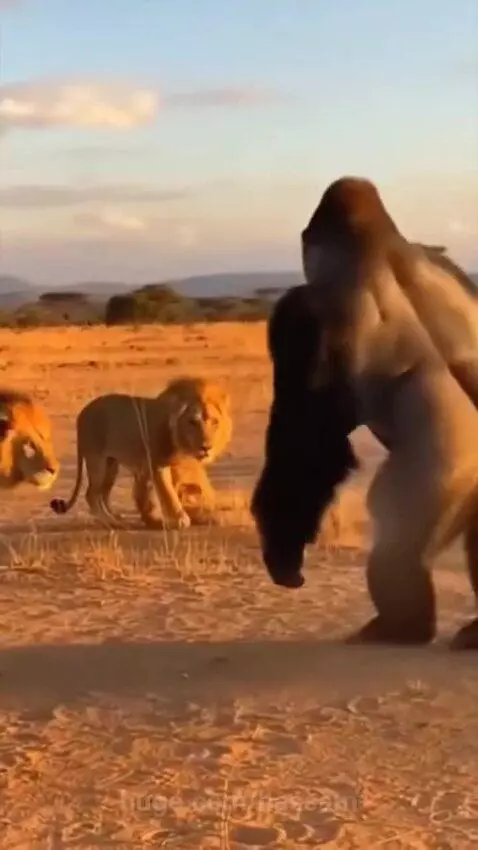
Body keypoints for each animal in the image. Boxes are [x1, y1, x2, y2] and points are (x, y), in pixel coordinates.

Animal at [50, 376, 232, 529]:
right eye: (192, 422)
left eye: (214, 422)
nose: (206, 447)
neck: (180, 440)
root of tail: (82, 414)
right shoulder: (157, 464)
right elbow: (168, 493)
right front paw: (180, 519)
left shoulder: (161, 467)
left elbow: (155, 492)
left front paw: (156, 518)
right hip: (97, 460)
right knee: (92, 495)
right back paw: (113, 523)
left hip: (111, 465)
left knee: (103, 494)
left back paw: (116, 517)